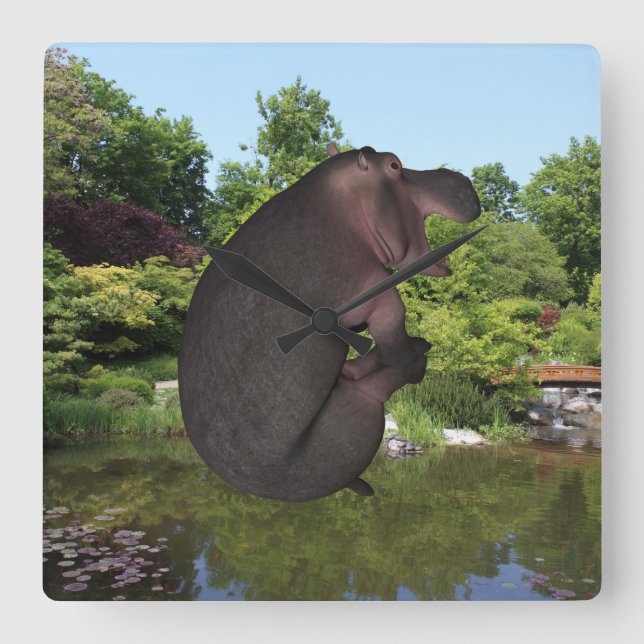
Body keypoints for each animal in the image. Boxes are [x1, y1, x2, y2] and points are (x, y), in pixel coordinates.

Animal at [178, 145, 480, 501]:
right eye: (394, 164)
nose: (461, 177)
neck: (345, 200)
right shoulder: (372, 288)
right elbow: (393, 321)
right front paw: (408, 351)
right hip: (361, 412)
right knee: (377, 381)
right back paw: (417, 356)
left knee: (357, 371)